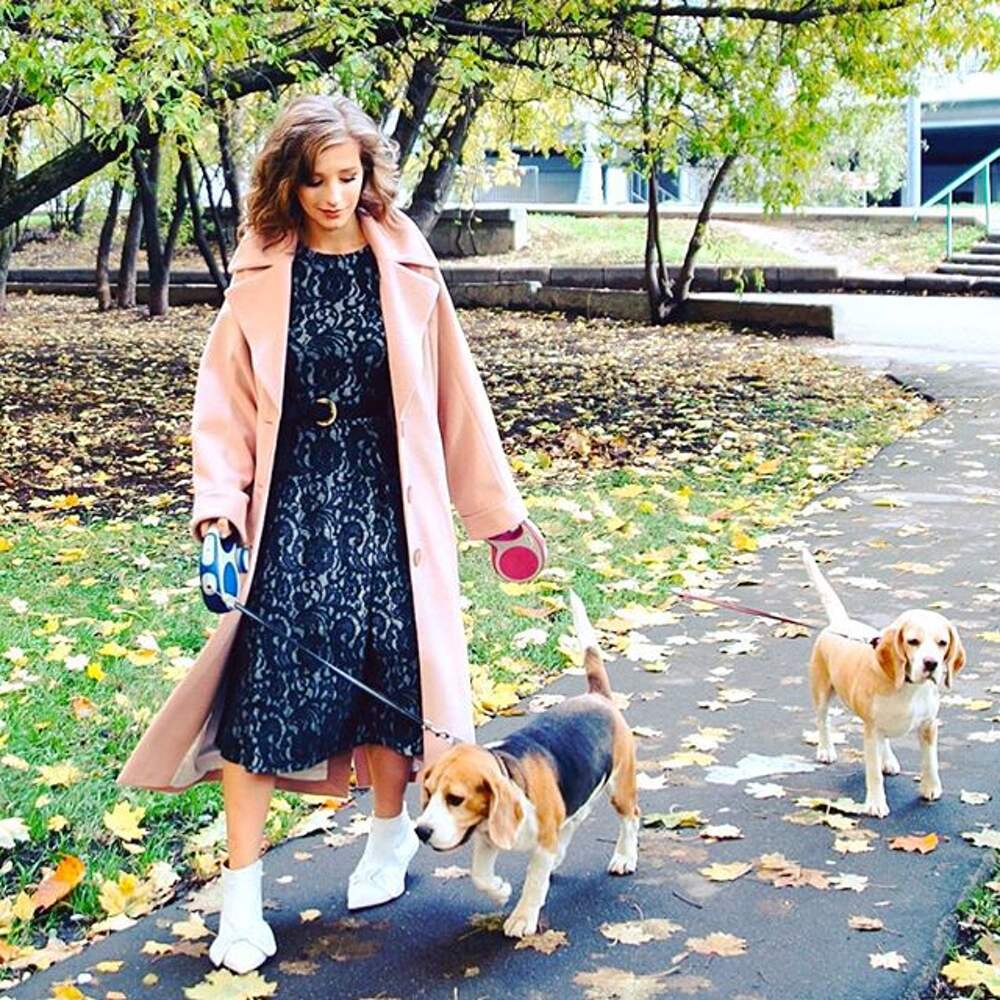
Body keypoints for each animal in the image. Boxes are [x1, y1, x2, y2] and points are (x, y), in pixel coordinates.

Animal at [413, 589, 639, 938]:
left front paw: (522, 916)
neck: (509, 770)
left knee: (630, 818)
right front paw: (499, 890)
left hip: (620, 785)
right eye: (427, 793)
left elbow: (534, 881)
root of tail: (597, 696)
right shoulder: (488, 836)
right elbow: (479, 875)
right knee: (574, 818)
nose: (421, 831)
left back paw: (625, 856)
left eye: (455, 799)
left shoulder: (540, 841)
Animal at [799, 544, 966, 818]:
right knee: (823, 721)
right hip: (822, 691)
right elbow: (873, 772)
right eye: (913, 641)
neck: (909, 687)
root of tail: (839, 624)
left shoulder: (928, 725)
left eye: (942, 643)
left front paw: (930, 787)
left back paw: (888, 759)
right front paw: (876, 803)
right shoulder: (871, 729)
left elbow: (930, 761)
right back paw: (826, 749)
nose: (931, 664)